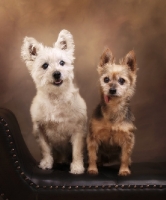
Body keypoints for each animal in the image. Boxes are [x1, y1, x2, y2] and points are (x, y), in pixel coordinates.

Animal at [21, 29, 87, 173]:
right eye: (45, 65)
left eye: (62, 63)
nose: (57, 74)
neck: (56, 97)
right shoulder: (40, 129)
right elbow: (45, 149)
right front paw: (46, 163)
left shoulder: (77, 129)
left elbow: (77, 150)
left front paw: (77, 167)